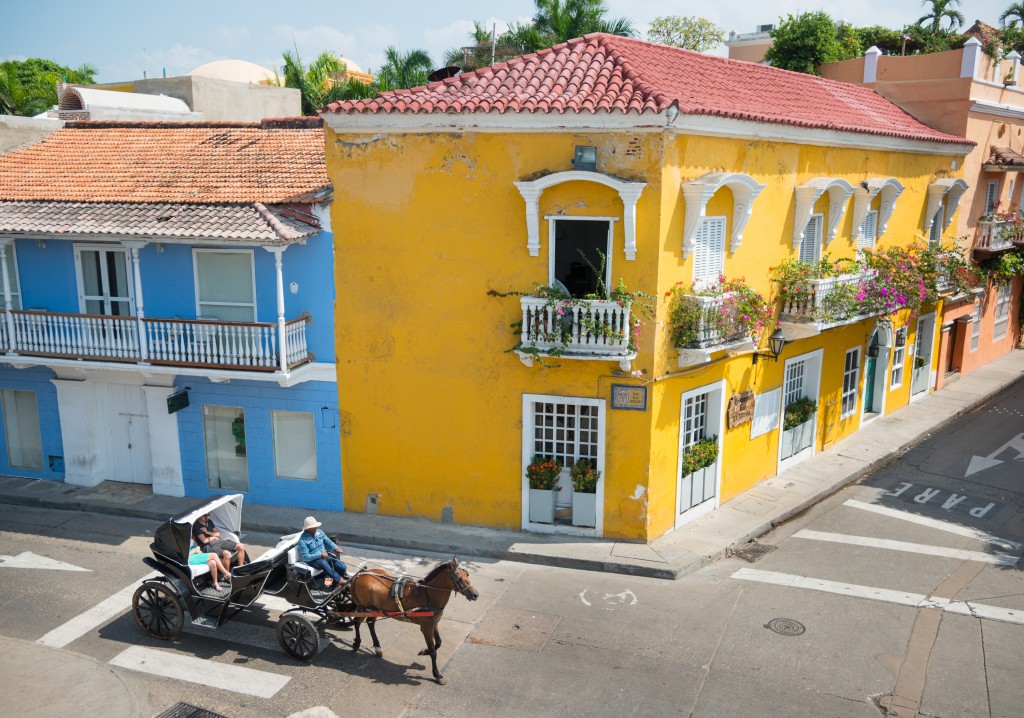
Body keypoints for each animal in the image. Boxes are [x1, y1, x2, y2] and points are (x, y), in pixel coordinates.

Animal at [348, 553, 479, 684]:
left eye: (467, 574)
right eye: (459, 578)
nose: (475, 595)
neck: (428, 595)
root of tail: (359, 576)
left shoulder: (434, 623)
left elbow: (438, 642)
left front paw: (424, 651)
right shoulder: (426, 628)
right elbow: (433, 651)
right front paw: (437, 674)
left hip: (375, 609)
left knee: (370, 623)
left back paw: (377, 648)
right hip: (364, 608)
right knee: (357, 622)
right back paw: (357, 643)